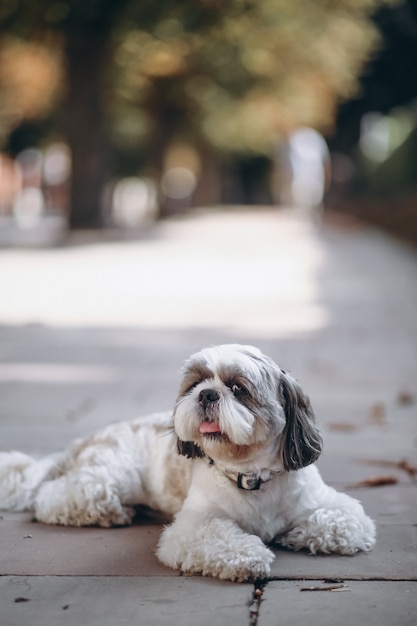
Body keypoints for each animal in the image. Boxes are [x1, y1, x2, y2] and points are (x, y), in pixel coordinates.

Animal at [0, 342, 376, 580]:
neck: (251, 476)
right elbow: (221, 539)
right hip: (108, 478)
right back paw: (112, 513)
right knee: (56, 496)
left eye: (238, 389)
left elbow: (343, 525)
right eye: (196, 383)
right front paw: (250, 557)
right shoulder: (195, 525)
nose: (207, 394)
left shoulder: (334, 507)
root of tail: (82, 442)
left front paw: (295, 535)